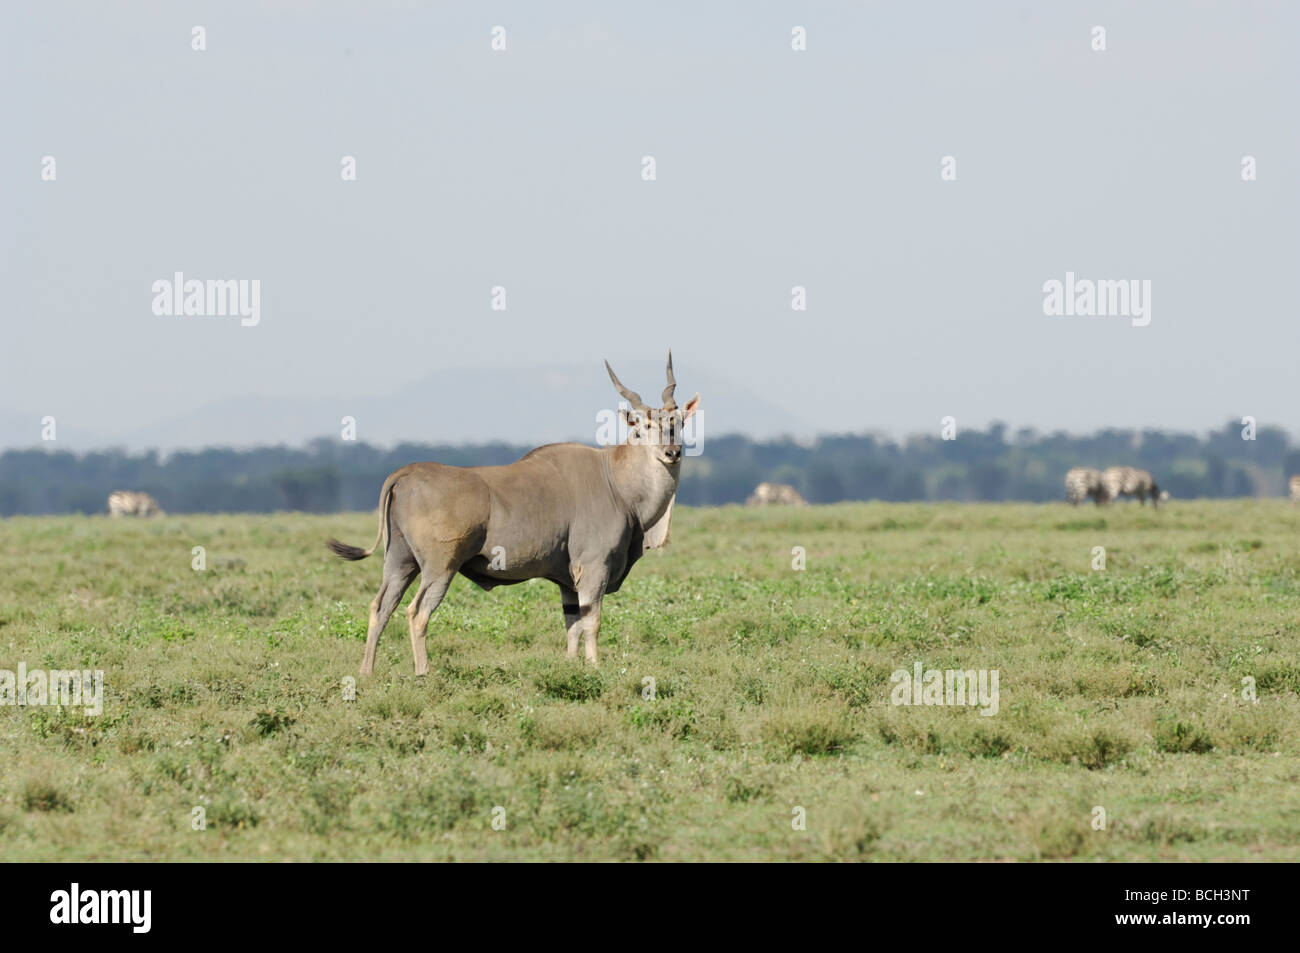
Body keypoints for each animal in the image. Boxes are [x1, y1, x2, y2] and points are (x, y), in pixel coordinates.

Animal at [335, 353, 702, 670]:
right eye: (643, 428)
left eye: (678, 423)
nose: (672, 453)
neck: (615, 479)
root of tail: (407, 473)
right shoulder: (593, 568)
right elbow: (592, 621)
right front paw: (595, 668)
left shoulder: (567, 580)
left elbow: (572, 624)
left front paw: (571, 667)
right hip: (440, 567)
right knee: (416, 612)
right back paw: (423, 672)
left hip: (400, 562)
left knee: (380, 607)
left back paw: (366, 673)